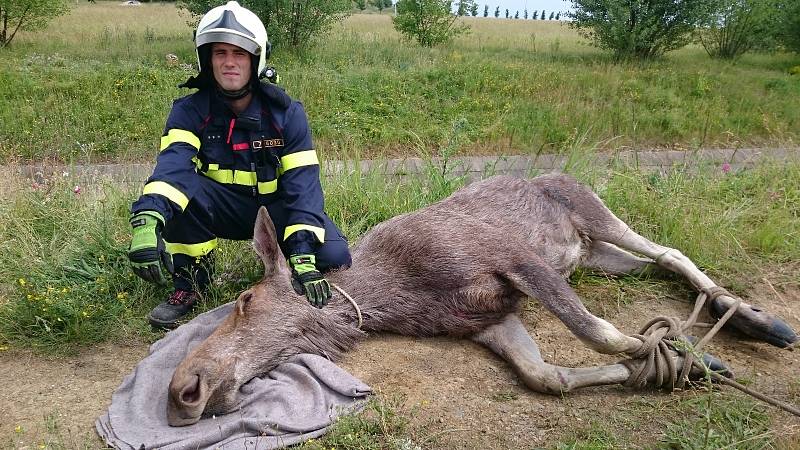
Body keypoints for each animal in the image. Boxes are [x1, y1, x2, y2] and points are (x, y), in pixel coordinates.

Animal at [166, 174, 796, 428]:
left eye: (246, 298)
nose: (181, 389)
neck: (390, 295)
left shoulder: (514, 258)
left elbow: (597, 330)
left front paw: (676, 353)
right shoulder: (488, 320)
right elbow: (545, 375)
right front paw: (685, 365)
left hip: (593, 213)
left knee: (669, 251)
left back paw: (759, 320)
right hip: (592, 253)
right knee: (654, 263)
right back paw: (738, 321)